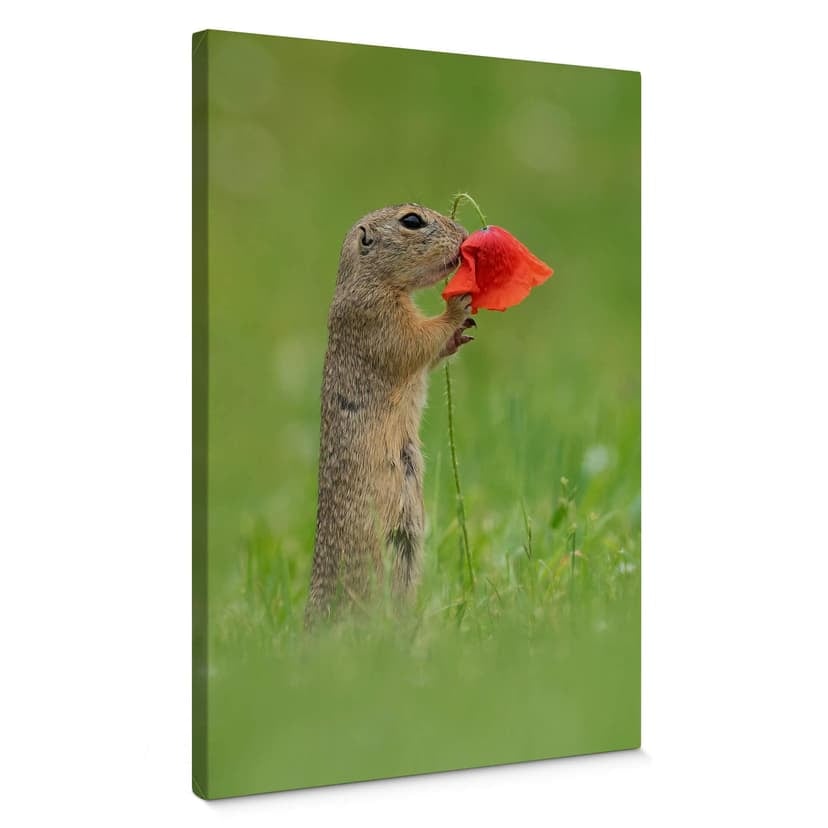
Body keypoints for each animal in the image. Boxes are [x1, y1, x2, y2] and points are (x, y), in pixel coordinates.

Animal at [305, 204, 474, 624]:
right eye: (411, 221)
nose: (465, 235)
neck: (370, 281)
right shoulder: (378, 319)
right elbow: (415, 341)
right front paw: (458, 304)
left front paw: (460, 334)